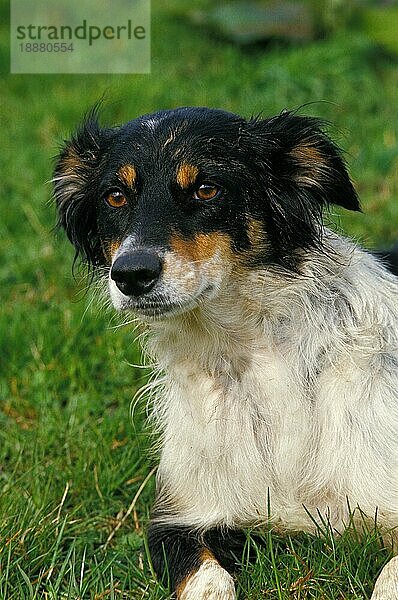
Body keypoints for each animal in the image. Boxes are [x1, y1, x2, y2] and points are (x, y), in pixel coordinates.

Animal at [53, 108, 398, 600]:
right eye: (115, 196)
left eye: (206, 189)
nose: (131, 274)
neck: (253, 360)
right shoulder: (178, 518)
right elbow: (206, 579)